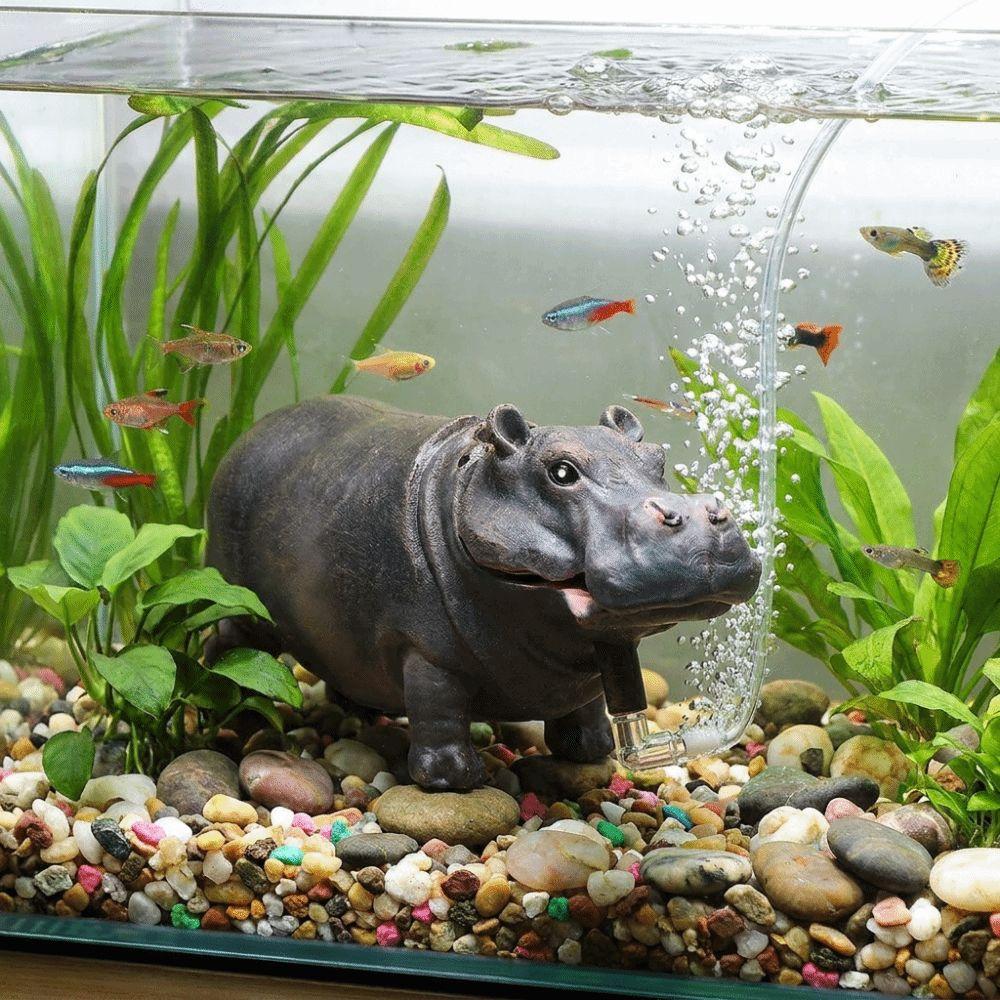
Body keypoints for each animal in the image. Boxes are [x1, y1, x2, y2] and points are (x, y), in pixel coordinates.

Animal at [206, 395, 761, 790]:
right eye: (561, 471)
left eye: (657, 459)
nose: (701, 517)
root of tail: (251, 431)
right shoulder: (425, 650)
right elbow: (438, 707)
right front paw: (454, 777)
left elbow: (587, 703)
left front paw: (592, 749)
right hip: (236, 601)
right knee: (228, 644)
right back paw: (230, 711)